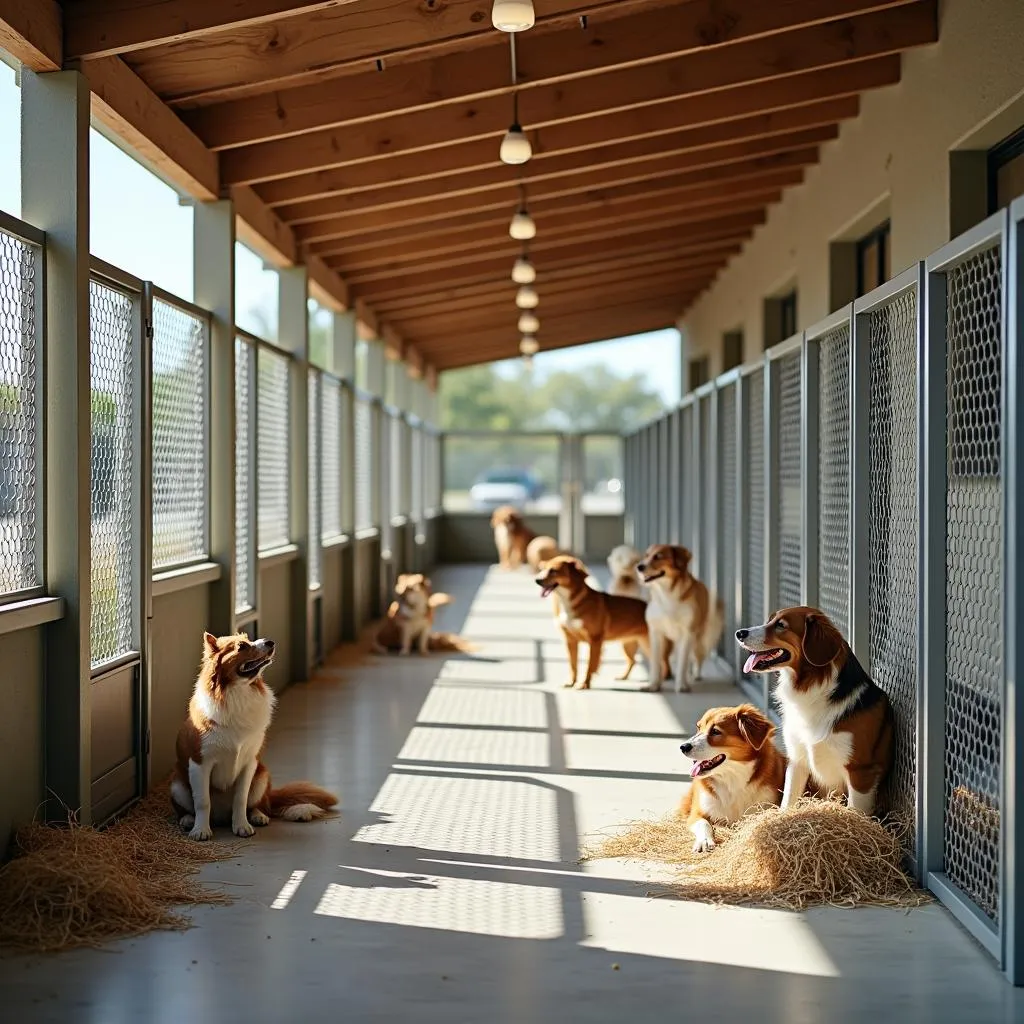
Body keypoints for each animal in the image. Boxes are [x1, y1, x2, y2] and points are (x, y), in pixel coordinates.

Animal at [169, 630, 337, 839]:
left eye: (249, 639)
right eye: (241, 646)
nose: (270, 642)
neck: (237, 694)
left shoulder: (249, 763)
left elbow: (241, 799)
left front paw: (242, 826)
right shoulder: (200, 764)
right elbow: (202, 801)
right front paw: (201, 830)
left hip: (262, 776)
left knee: (260, 804)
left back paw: (258, 815)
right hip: (177, 784)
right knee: (186, 808)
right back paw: (188, 819)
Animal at [536, 557, 647, 692]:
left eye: (553, 571)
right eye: (543, 569)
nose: (537, 580)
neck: (570, 601)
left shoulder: (595, 640)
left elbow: (590, 665)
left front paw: (584, 684)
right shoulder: (570, 641)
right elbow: (573, 665)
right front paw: (571, 682)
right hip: (628, 645)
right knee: (633, 661)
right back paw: (623, 676)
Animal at [634, 540, 724, 692]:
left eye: (658, 556)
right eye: (646, 555)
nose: (639, 567)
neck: (666, 594)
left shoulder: (687, 633)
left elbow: (683, 662)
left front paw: (681, 684)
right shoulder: (656, 633)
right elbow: (656, 662)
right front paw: (654, 684)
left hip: (699, 638)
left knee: (697, 656)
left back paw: (695, 674)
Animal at [675, 704, 786, 856]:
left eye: (715, 731)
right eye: (698, 728)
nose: (683, 747)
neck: (732, 779)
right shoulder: (696, 813)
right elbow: (704, 823)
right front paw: (705, 841)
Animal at [737, 606, 897, 815]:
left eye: (781, 625)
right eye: (769, 620)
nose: (739, 633)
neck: (813, 688)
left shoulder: (860, 771)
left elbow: (855, 810)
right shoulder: (797, 759)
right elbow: (788, 799)